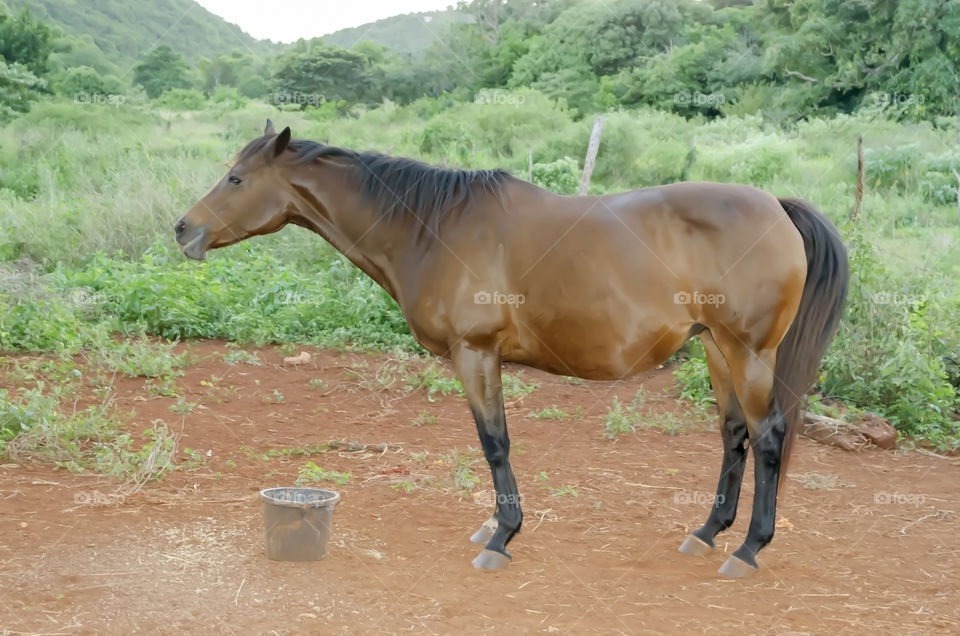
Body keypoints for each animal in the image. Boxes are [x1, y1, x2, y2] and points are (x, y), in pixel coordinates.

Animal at [175, 120, 848, 578]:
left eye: (236, 178)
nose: (183, 229)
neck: (434, 228)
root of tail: (777, 206)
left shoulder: (476, 354)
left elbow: (494, 443)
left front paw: (502, 536)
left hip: (748, 353)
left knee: (767, 438)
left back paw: (748, 549)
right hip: (716, 351)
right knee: (734, 436)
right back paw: (708, 532)